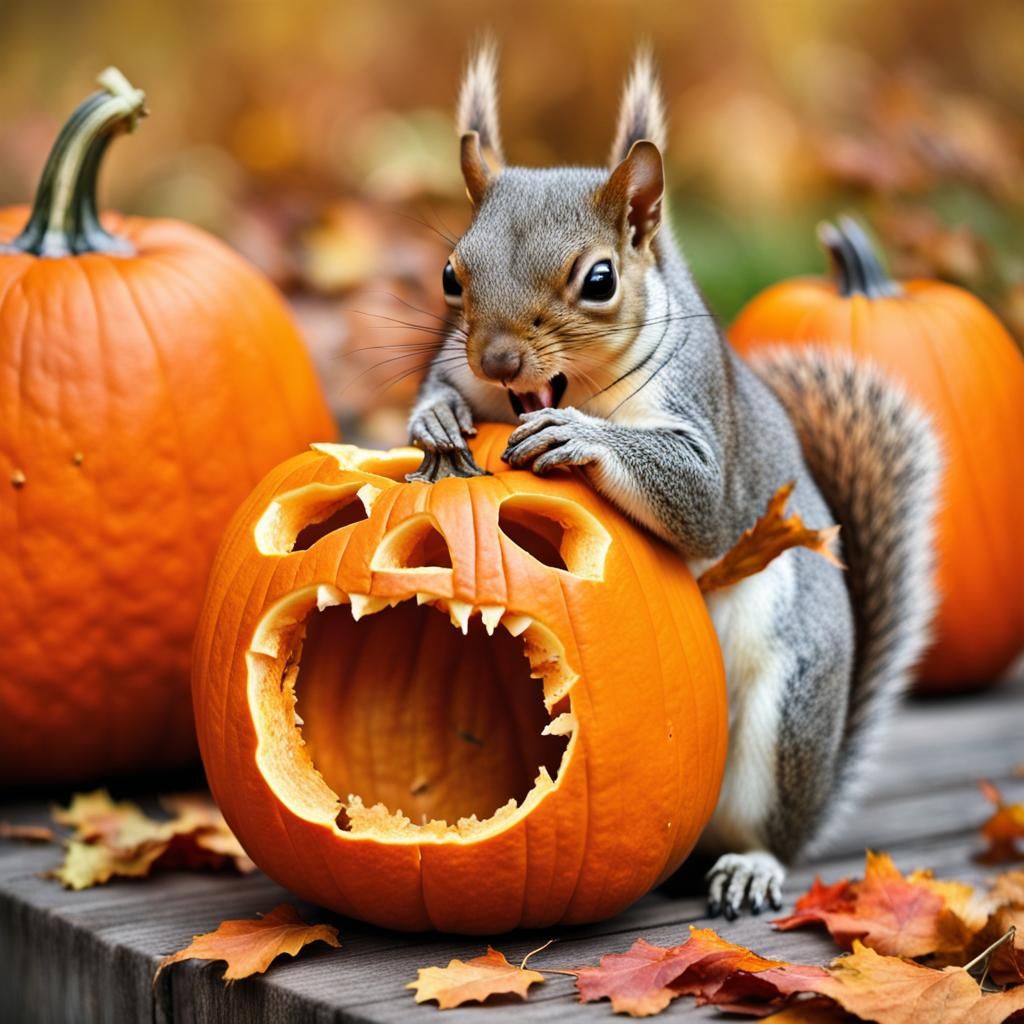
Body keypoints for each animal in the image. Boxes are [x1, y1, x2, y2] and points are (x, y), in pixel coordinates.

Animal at [407, 45, 942, 918]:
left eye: (598, 281)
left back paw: (751, 865)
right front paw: (437, 419)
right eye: (451, 275)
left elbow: (700, 504)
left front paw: (578, 436)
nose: (498, 361)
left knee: (769, 832)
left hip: (785, 711)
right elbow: (434, 398)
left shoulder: (705, 432)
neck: (582, 387)